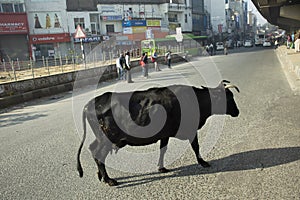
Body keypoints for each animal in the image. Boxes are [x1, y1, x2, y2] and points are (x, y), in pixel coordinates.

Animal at [77, 81, 239, 186]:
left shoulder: (165, 134)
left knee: (94, 150)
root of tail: (89, 104)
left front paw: (161, 168)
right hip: (107, 139)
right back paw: (109, 180)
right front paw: (203, 162)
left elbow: (163, 149)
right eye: (229, 97)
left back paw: (101, 176)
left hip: (102, 138)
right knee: (98, 153)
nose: (237, 112)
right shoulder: (191, 130)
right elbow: (196, 146)